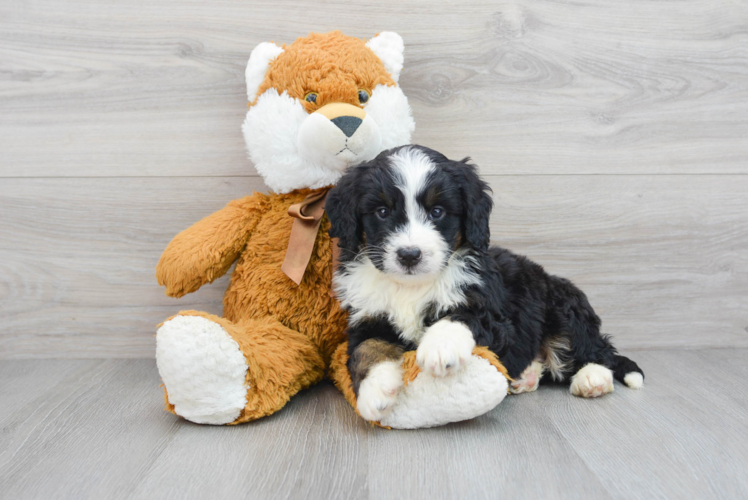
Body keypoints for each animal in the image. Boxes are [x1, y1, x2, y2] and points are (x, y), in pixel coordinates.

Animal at [328, 146, 644, 422]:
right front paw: (375, 391)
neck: (412, 287)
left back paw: (593, 378)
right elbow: (367, 347)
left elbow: (461, 316)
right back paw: (527, 376)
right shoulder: (368, 316)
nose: (409, 255)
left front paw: (440, 347)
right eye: (382, 212)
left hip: (564, 306)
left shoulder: (493, 314)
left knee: (596, 350)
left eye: (437, 212)